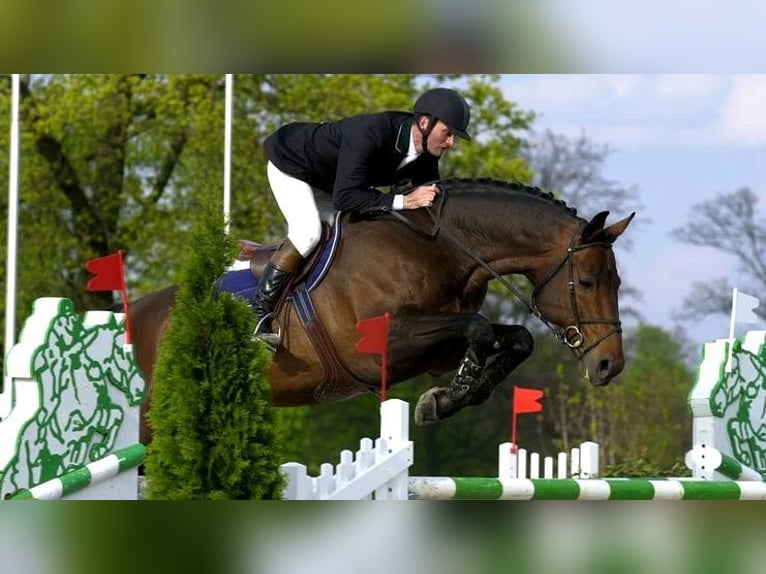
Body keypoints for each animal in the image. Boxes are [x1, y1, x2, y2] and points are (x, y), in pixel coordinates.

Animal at [130, 180, 636, 446]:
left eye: (617, 283)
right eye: (587, 282)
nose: (609, 366)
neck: (441, 248)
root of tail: (139, 308)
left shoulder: (437, 351)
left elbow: (513, 338)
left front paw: (447, 398)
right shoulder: (375, 350)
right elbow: (478, 329)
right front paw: (447, 397)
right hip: (158, 412)